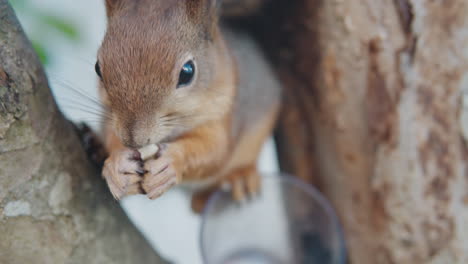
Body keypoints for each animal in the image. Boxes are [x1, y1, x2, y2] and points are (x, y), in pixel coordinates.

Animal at [97, 0, 280, 211]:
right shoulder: (109, 116)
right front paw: (117, 165)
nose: (134, 140)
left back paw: (239, 178)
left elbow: (215, 150)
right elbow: (110, 136)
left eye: (187, 72)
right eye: (97, 68)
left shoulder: (223, 113)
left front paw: (172, 162)